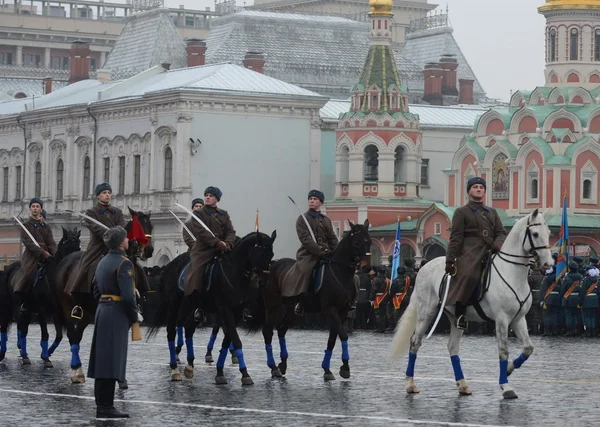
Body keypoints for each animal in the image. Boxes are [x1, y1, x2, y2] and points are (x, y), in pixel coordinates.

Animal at [0, 227, 81, 368]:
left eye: (79, 245)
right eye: (69, 245)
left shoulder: (58, 312)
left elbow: (59, 336)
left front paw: (47, 353)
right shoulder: (42, 310)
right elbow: (45, 334)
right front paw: (46, 358)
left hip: (24, 310)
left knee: (23, 330)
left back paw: (23, 353)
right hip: (8, 306)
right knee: (6, 327)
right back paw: (5, 353)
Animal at [54, 207, 152, 384]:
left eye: (151, 226)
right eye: (140, 227)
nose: (149, 250)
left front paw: (121, 379)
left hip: (86, 312)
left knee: (77, 335)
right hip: (67, 306)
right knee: (73, 335)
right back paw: (76, 370)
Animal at [148, 232, 274, 386]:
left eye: (271, 255)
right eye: (260, 253)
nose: (263, 282)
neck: (235, 273)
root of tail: (170, 265)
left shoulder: (236, 313)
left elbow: (227, 339)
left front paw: (220, 371)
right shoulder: (225, 310)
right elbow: (236, 340)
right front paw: (245, 374)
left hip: (191, 305)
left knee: (188, 329)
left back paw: (189, 365)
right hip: (174, 306)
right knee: (172, 332)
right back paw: (175, 369)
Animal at [248, 221, 370, 382]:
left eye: (369, 241)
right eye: (357, 242)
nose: (367, 268)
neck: (341, 273)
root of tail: (271, 266)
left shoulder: (343, 312)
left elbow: (333, 338)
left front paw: (327, 369)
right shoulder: (331, 310)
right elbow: (343, 335)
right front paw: (345, 367)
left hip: (292, 310)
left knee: (281, 329)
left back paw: (283, 363)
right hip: (272, 305)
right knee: (268, 332)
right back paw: (274, 367)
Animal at [390, 209, 552, 400]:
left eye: (549, 233)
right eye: (535, 234)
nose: (549, 264)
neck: (511, 273)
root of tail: (425, 267)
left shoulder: (518, 319)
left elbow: (528, 348)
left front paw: (510, 369)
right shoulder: (502, 319)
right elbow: (503, 351)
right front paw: (505, 385)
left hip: (455, 318)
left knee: (452, 347)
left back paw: (463, 385)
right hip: (426, 313)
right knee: (415, 342)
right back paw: (410, 383)